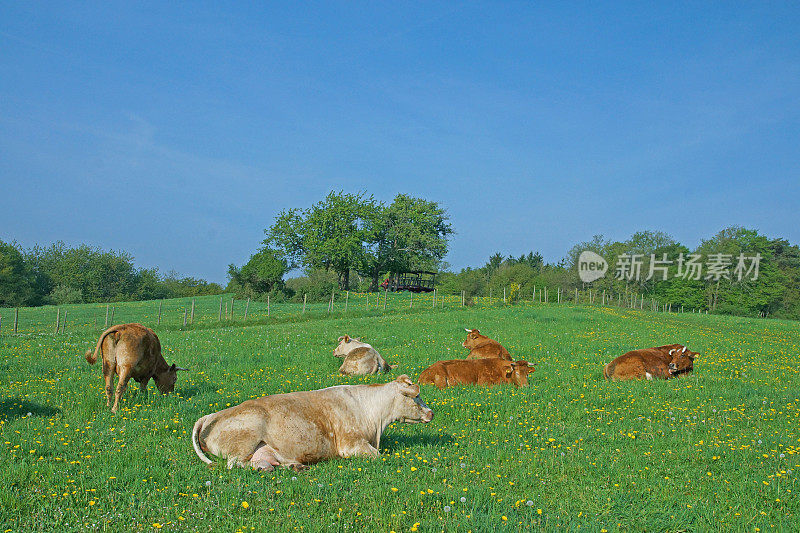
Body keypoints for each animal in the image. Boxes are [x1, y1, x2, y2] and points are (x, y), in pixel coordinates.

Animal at [191, 374, 434, 470]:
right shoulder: (351, 445)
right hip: (244, 441)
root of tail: (210, 415)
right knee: (236, 464)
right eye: (416, 397)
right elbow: (379, 456)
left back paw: (293, 466)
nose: (431, 413)